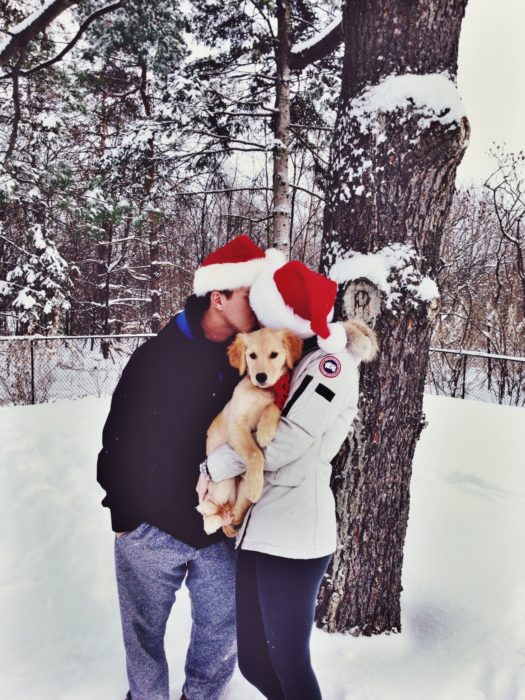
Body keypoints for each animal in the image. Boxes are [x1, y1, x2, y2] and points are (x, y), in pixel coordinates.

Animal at [196, 328, 302, 536]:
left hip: (239, 496)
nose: (260, 377)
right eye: (252, 355)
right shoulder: (237, 425)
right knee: (215, 512)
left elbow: (272, 406)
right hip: (223, 484)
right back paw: (209, 513)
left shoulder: (277, 402)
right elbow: (254, 453)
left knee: (233, 515)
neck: (262, 391)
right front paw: (255, 486)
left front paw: (264, 431)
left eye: (274, 354)